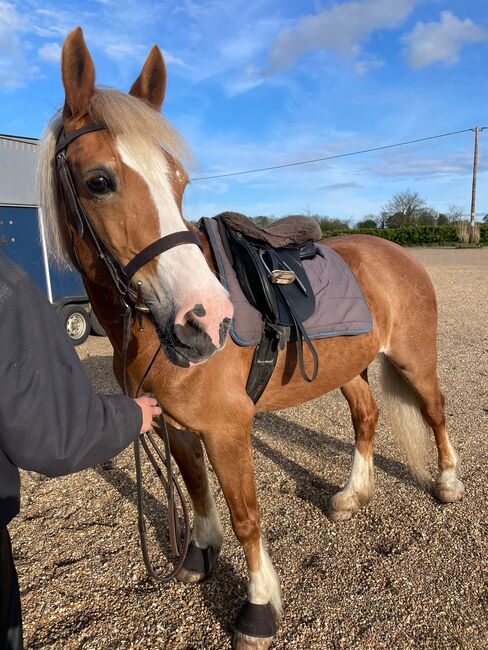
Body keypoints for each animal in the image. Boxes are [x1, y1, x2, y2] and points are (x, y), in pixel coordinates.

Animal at [38, 26, 466, 648]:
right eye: (99, 181)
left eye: (179, 182)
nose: (204, 320)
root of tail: (397, 253)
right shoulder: (174, 424)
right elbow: (196, 490)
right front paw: (197, 557)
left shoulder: (227, 427)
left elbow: (246, 515)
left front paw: (259, 608)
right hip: (347, 369)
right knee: (366, 417)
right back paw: (351, 496)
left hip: (414, 359)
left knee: (434, 411)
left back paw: (449, 483)